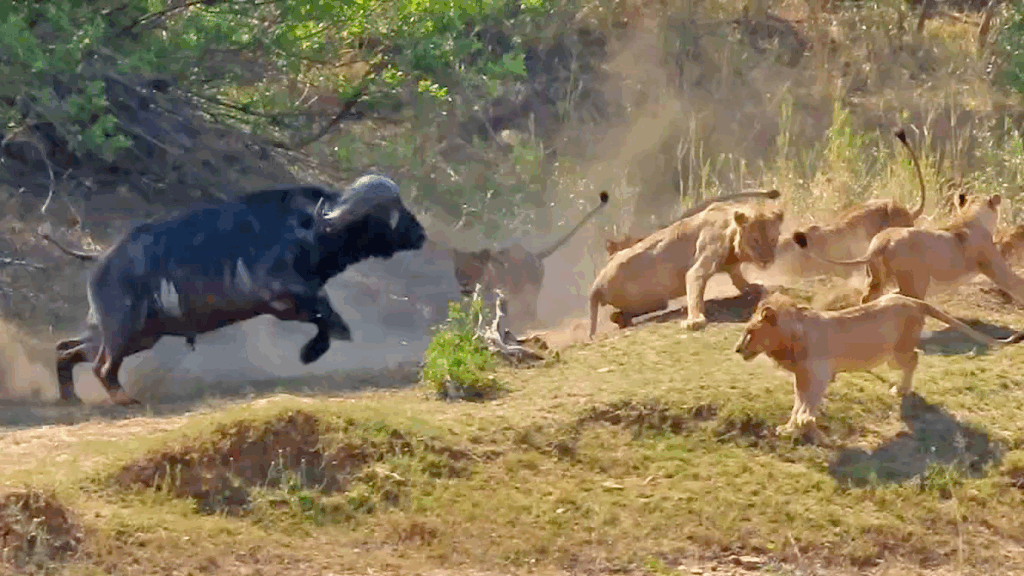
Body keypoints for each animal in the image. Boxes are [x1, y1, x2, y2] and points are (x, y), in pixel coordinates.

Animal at [49, 174, 427, 406]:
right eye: (392, 213)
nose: (420, 232)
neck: (309, 229)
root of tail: (101, 259)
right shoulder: (283, 297)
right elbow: (326, 314)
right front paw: (314, 350)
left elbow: (325, 316)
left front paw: (314, 349)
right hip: (123, 330)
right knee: (101, 366)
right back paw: (123, 398)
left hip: (138, 334)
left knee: (67, 349)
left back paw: (70, 395)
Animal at [452, 191, 609, 331]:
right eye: (459, 271)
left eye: (474, 270)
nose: (464, 284)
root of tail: (534, 255)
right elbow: (477, 314)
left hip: (530, 291)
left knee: (530, 310)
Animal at [588, 198, 785, 338]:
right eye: (755, 241)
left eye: (773, 239)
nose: (767, 261)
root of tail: (596, 283)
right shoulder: (702, 262)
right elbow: (695, 291)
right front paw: (694, 320)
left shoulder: (731, 265)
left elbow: (738, 277)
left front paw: (752, 287)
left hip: (653, 301)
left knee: (621, 314)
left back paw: (620, 318)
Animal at [734, 291, 1024, 444]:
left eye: (750, 332)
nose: (737, 349)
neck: (789, 339)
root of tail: (913, 300)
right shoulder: (802, 378)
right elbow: (797, 404)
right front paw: (790, 427)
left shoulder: (818, 375)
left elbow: (806, 407)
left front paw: (805, 426)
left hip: (896, 353)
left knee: (915, 357)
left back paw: (901, 390)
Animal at [791, 192, 1024, 306]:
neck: (971, 216)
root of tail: (881, 244)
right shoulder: (993, 264)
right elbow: (1015, 283)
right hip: (914, 281)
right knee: (906, 299)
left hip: (877, 278)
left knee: (870, 297)